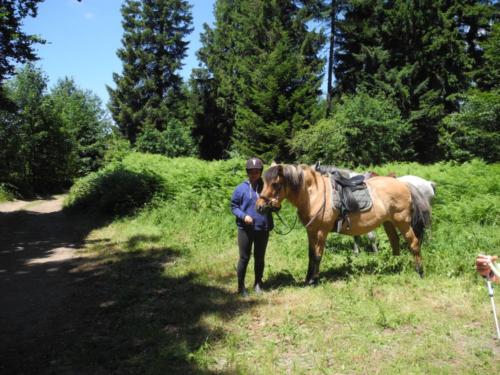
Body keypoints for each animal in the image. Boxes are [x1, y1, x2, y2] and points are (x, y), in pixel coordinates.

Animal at [256, 164, 432, 284]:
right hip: (389, 222)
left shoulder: (322, 231)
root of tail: (403, 184)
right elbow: (311, 255)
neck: (314, 194)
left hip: (402, 222)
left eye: (275, 184)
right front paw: (308, 279)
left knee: (414, 243)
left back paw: (420, 272)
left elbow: (318, 255)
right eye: (263, 182)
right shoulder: (311, 231)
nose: (259, 207)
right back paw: (394, 267)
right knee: (395, 243)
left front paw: (315, 280)